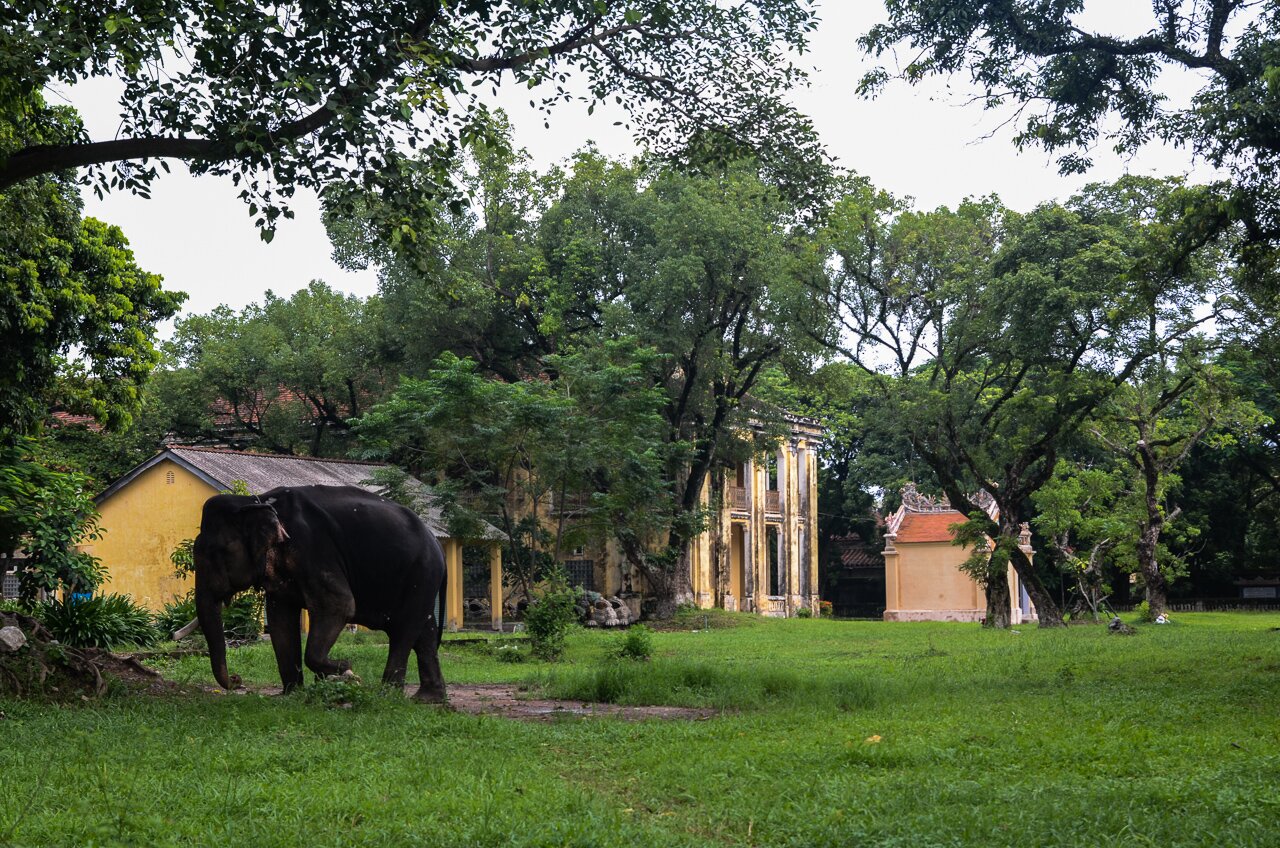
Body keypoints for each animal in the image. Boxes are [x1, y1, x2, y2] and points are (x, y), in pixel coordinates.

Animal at [193, 484, 448, 702]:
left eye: (217, 553)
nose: (237, 679)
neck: (256, 501)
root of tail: (438, 544)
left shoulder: (313, 549)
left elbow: (339, 605)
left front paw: (347, 670)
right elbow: (280, 619)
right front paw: (292, 695)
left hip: (422, 573)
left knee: (404, 630)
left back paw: (387, 695)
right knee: (424, 632)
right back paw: (427, 698)